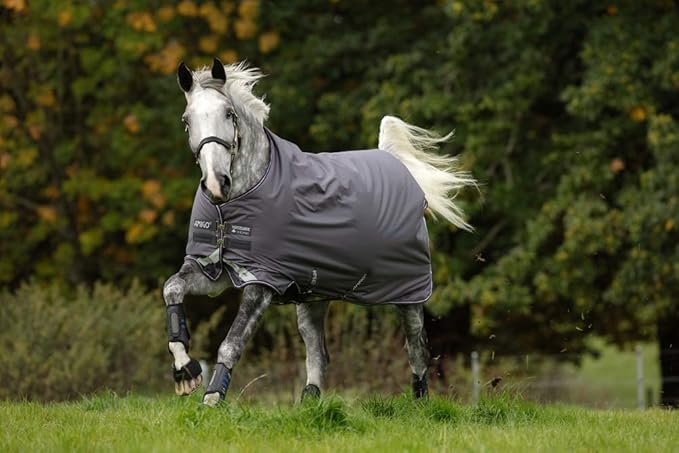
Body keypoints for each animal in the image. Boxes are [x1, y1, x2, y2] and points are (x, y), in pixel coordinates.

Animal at [163, 58, 476, 407]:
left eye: (229, 113)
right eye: (186, 121)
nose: (216, 184)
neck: (236, 203)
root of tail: (394, 160)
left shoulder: (263, 282)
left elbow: (232, 342)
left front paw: (211, 399)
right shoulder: (214, 271)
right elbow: (171, 288)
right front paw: (186, 373)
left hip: (409, 293)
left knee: (417, 352)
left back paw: (420, 404)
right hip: (313, 297)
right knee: (318, 356)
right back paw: (309, 402)